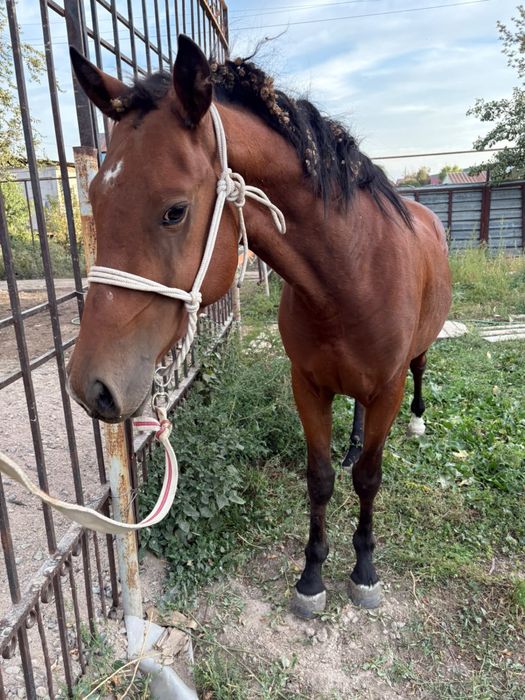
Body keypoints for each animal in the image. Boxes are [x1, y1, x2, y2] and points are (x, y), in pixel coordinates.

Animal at [67, 36, 451, 617]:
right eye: (96, 198)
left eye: (175, 210)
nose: (91, 385)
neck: (353, 276)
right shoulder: (308, 386)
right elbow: (320, 479)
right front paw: (312, 577)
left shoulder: (386, 387)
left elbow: (368, 479)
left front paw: (363, 570)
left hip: (414, 360)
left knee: (420, 374)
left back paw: (418, 421)